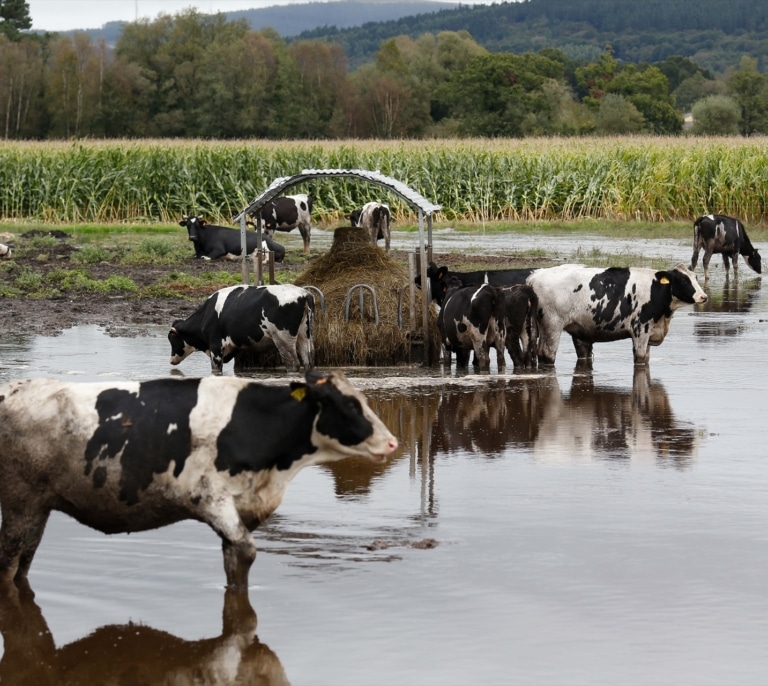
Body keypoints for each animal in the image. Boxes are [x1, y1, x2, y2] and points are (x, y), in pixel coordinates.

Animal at [0, 370, 396, 592]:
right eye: (349, 405)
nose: (392, 442)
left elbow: (235, 563)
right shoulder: (210, 498)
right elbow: (247, 551)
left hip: (38, 509)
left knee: (23, 565)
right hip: (19, 503)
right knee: (8, 564)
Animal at [170, 282, 316, 374]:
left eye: (171, 339)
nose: (171, 360)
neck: (207, 314)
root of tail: (304, 294)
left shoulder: (216, 347)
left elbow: (216, 369)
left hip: (283, 339)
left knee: (293, 364)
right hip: (304, 336)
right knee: (308, 362)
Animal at [528, 264, 708, 368]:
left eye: (695, 277)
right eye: (683, 281)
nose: (703, 297)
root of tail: (535, 276)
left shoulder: (650, 331)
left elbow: (647, 358)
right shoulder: (640, 329)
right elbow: (640, 357)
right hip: (552, 325)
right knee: (547, 354)